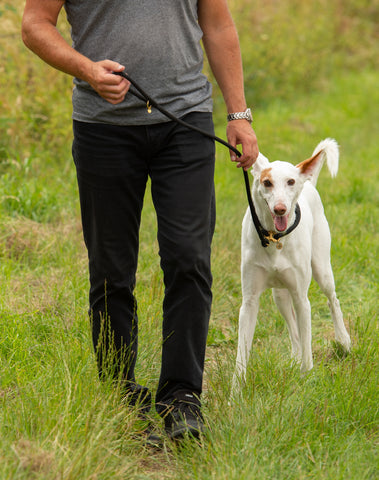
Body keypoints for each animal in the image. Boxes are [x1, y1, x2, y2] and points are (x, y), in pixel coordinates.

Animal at [233, 140, 352, 390]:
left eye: (290, 182)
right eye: (267, 182)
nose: (280, 209)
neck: (274, 238)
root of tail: (309, 184)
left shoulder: (301, 298)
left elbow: (308, 346)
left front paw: (307, 381)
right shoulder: (249, 302)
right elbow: (241, 354)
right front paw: (235, 393)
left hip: (322, 270)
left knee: (332, 300)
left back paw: (344, 341)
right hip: (280, 296)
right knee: (294, 333)